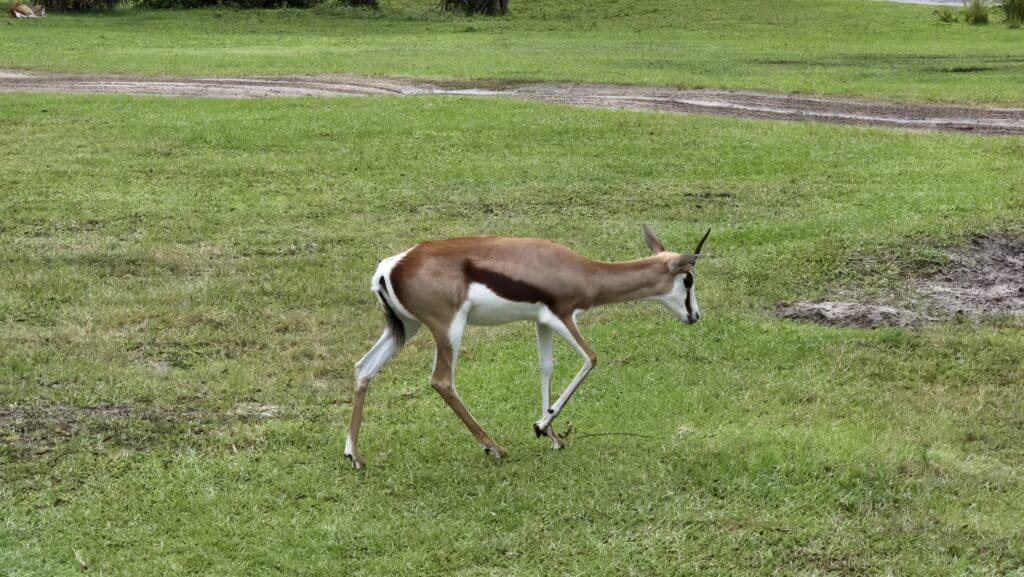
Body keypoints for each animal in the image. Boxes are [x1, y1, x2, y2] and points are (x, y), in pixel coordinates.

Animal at [348, 224, 708, 469]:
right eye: (688, 279)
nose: (695, 315)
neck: (585, 272)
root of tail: (391, 267)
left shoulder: (542, 321)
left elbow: (545, 367)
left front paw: (552, 435)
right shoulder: (562, 315)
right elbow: (590, 359)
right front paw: (541, 426)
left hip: (405, 328)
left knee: (364, 368)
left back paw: (354, 456)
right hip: (447, 329)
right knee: (442, 381)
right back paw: (494, 448)